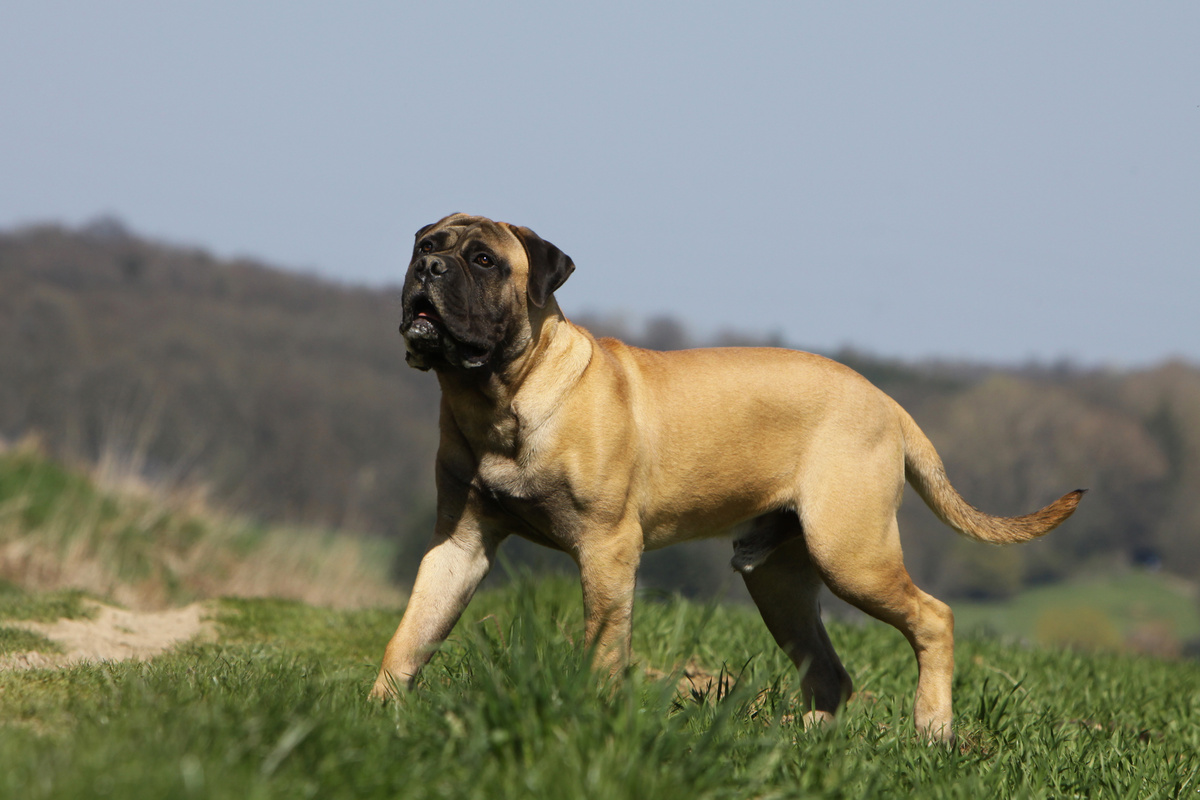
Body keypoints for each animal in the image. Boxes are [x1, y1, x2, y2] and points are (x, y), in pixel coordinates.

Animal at [369, 211, 1084, 738]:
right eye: (426, 247)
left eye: (484, 260)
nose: (428, 268)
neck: (501, 397)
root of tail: (887, 403)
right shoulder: (459, 545)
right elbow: (410, 635)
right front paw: (379, 713)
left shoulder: (606, 549)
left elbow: (603, 645)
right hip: (779, 579)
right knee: (830, 672)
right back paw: (803, 739)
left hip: (851, 552)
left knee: (934, 617)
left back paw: (931, 728)